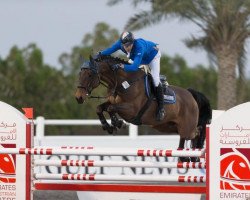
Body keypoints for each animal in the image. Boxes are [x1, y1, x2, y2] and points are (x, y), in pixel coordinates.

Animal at [74, 54, 211, 162]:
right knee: (184, 137)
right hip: (169, 126)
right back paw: (184, 156)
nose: (78, 97)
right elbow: (100, 108)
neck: (123, 83)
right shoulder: (113, 102)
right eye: (80, 73)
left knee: (197, 132)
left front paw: (118, 123)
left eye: (90, 74)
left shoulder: (132, 110)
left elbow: (111, 109)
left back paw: (194, 154)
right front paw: (108, 126)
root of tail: (191, 95)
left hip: (187, 126)